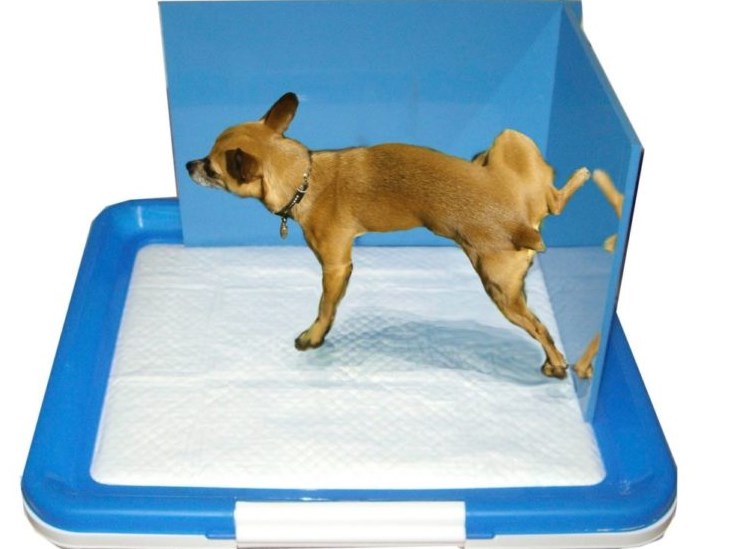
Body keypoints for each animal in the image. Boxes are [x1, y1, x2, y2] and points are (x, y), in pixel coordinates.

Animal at [187, 92, 591, 379]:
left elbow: (325, 306)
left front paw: (314, 336)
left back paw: (557, 365)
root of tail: (520, 224)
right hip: (512, 147)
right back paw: (572, 174)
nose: (189, 164)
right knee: (554, 202)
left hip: (499, 288)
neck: (305, 178)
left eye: (212, 168)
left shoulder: (335, 267)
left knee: (540, 326)